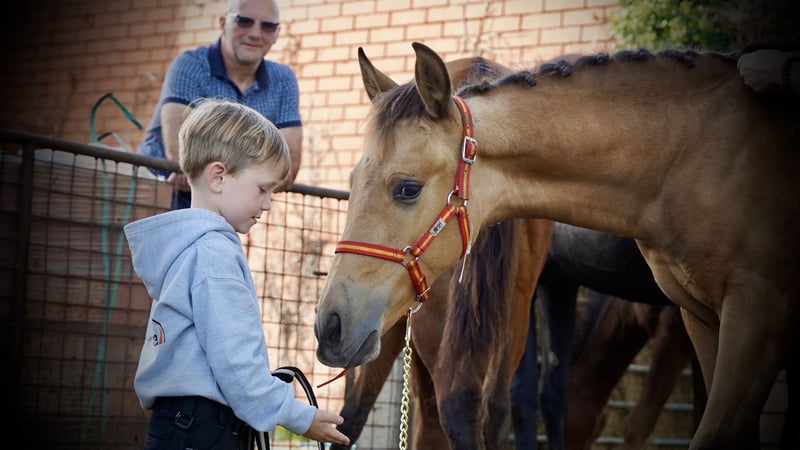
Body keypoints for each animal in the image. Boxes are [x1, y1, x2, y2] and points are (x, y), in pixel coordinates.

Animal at [315, 41, 800, 449]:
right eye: (352, 181)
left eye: (408, 188)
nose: (329, 324)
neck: (694, 152)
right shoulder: (699, 318)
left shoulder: (754, 314)